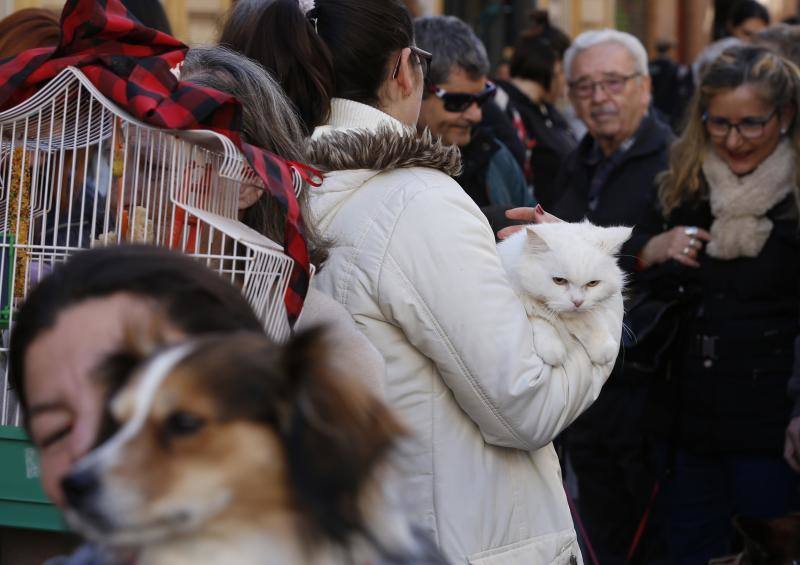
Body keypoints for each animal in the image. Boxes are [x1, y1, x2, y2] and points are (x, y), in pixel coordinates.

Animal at [500, 220, 632, 366]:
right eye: (559, 280)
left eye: (592, 283)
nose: (578, 302)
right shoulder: (523, 299)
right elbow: (539, 319)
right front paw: (553, 349)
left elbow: (593, 323)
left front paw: (603, 347)